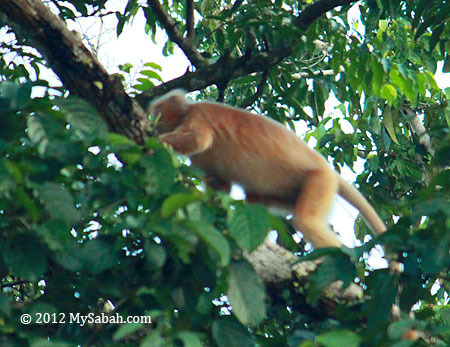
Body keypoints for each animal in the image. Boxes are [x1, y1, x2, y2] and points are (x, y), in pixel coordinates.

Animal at [149, 89, 386, 247]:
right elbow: (220, 185)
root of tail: (325, 166)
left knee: (306, 221)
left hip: (320, 180)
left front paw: (155, 141)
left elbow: (199, 140)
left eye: (156, 114)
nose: (152, 122)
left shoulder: (198, 116)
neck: (185, 112)